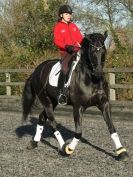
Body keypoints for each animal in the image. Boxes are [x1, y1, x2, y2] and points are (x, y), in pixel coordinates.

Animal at [22, 31, 128, 160]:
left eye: (103, 50)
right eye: (92, 51)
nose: (98, 72)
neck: (91, 79)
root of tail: (37, 70)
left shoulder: (104, 104)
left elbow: (111, 128)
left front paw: (121, 151)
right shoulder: (78, 107)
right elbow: (78, 133)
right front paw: (70, 149)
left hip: (53, 101)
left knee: (42, 117)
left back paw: (34, 142)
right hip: (45, 99)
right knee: (53, 123)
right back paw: (63, 148)